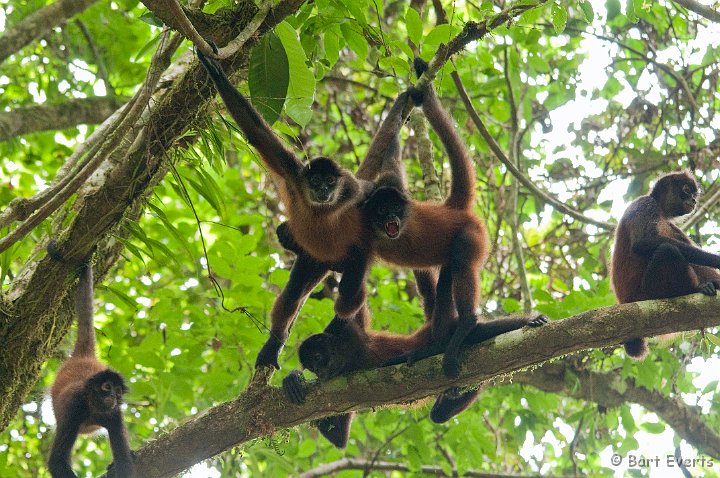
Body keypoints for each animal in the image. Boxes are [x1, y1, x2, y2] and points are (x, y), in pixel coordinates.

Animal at [45, 245, 135, 478]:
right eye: (106, 387)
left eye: (118, 392)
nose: (113, 396)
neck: (92, 408)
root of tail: (83, 358)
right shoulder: (73, 405)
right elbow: (57, 463)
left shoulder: (114, 413)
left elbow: (125, 464)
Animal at [612, 172, 720, 358]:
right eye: (686, 190)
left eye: (695, 194)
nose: (694, 200)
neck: (662, 213)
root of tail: (624, 301)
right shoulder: (644, 204)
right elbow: (644, 243)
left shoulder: (669, 223)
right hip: (645, 293)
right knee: (667, 250)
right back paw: (695, 288)